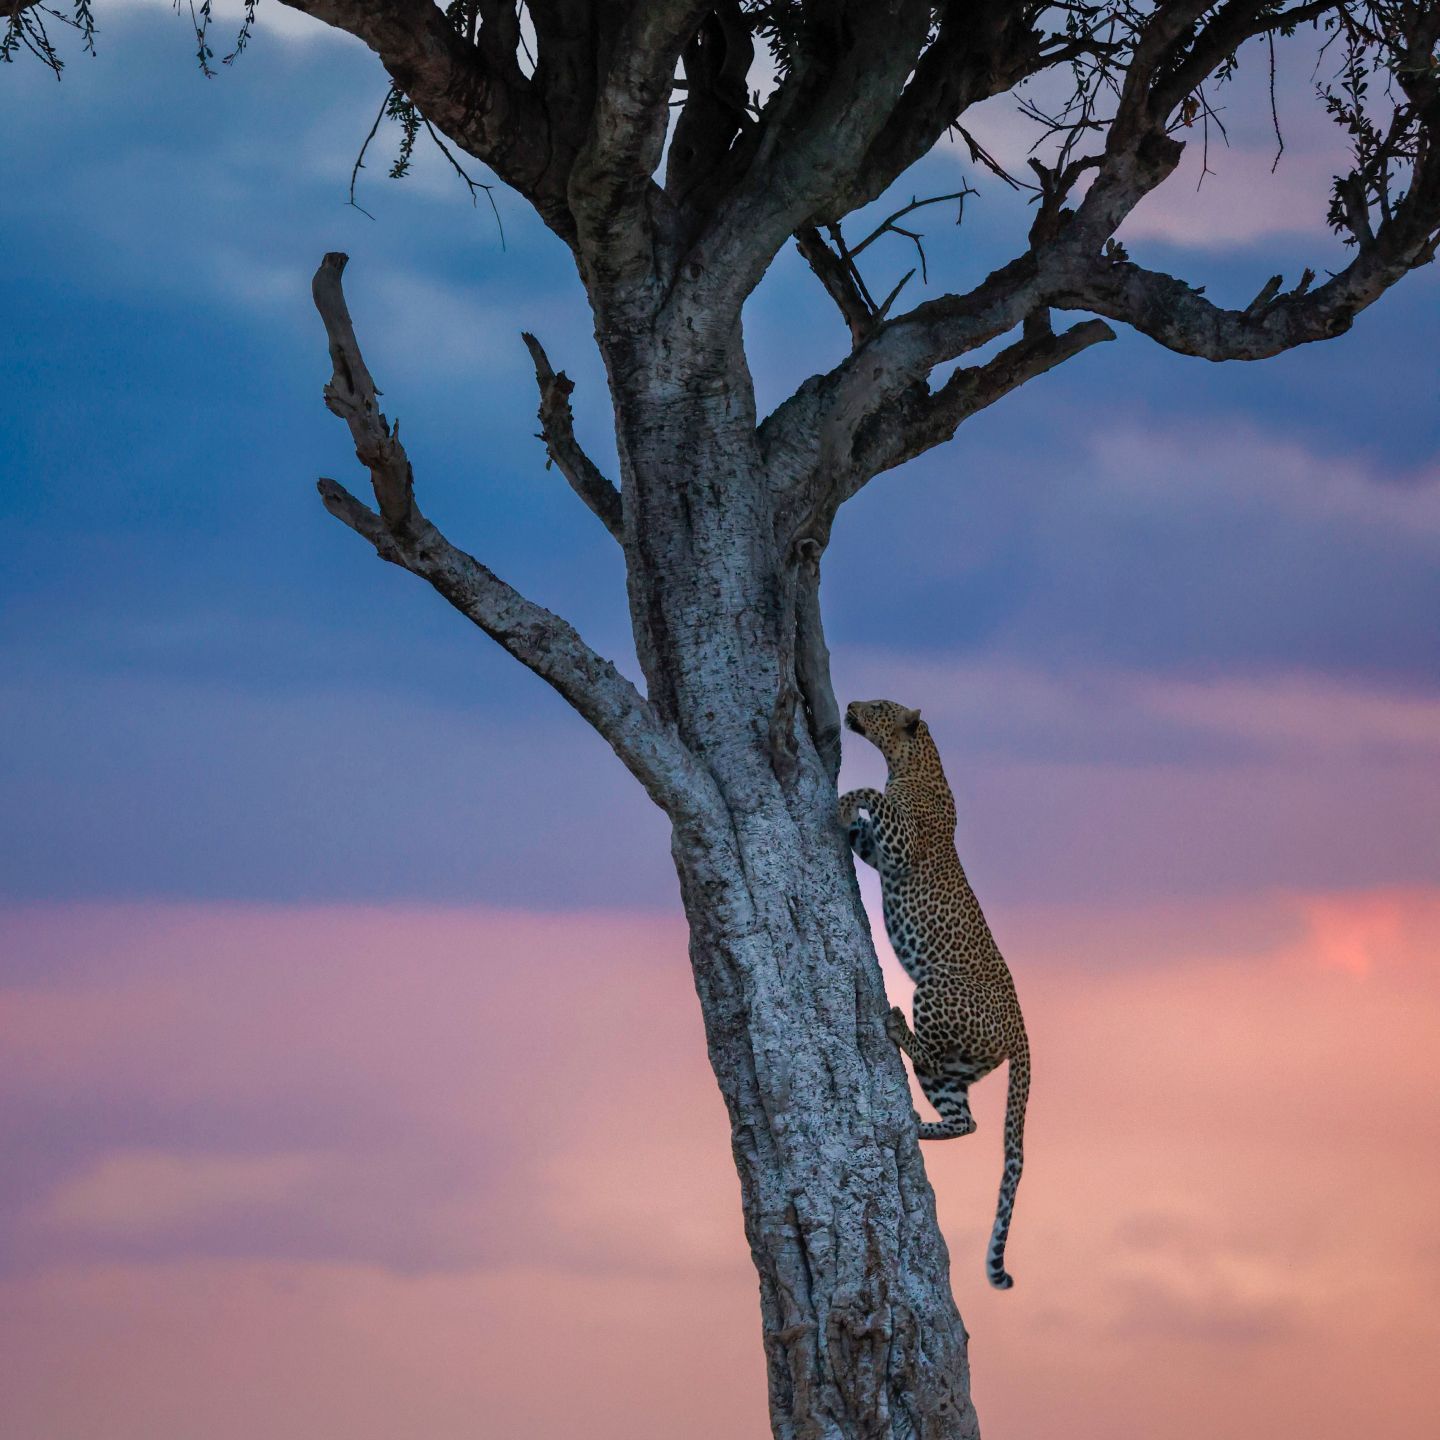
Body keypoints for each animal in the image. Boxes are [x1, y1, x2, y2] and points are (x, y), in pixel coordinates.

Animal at [839, 698, 1030, 1290]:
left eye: (879, 706)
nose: (849, 705)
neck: (911, 760)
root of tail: (1023, 1029)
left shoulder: (901, 843)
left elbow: (870, 797)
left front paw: (844, 801)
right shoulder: (881, 851)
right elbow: (864, 833)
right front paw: (847, 816)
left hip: (936, 987)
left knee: (925, 1047)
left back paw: (897, 1026)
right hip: (957, 1067)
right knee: (965, 1118)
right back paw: (918, 1129)